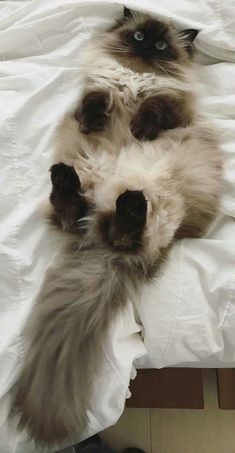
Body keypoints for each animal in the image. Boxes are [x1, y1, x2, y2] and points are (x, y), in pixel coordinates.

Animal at [8, 6, 222, 444]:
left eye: (160, 45)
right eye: (138, 37)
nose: (146, 47)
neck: (136, 78)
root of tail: (99, 247)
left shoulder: (174, 106)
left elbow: (157, 107)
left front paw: (140, 129)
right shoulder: (95, 90)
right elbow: (95, 102)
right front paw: (96, 121)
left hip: (160, 206)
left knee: (125, 233)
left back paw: (128, 203)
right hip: (88, 189)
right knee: (75, 212)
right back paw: (68, 181)